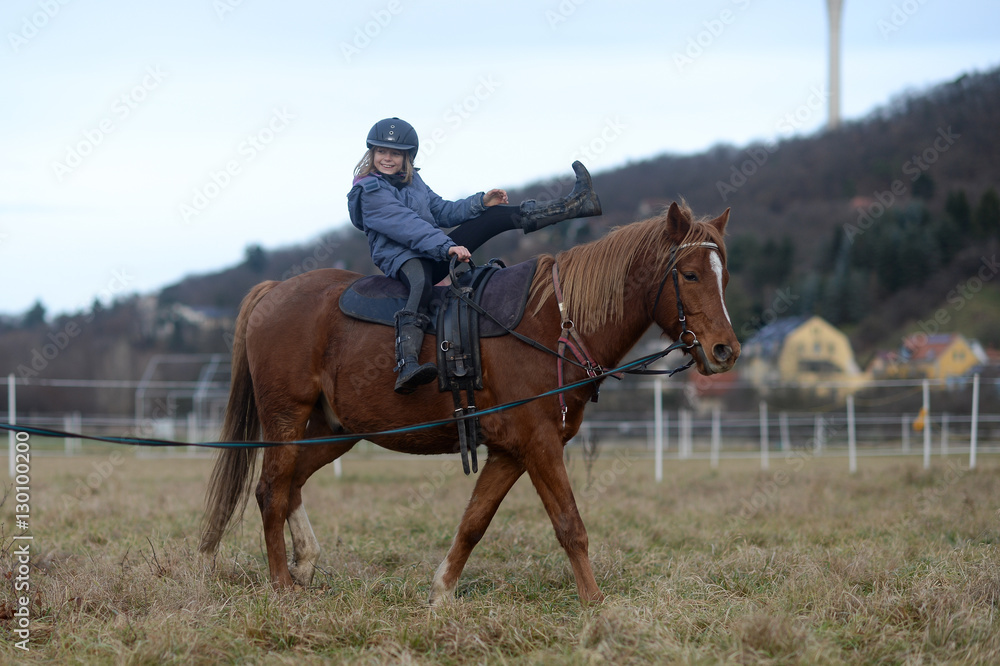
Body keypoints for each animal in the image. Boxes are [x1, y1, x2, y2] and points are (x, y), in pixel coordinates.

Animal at [199, 201, 740, 600]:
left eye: (724, 276)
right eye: (689, 274)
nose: (725, 351)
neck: (551, 324)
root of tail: (274, 292)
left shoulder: (509, 453)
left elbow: (474, 523)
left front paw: (441, 591)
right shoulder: (540, 445)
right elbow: (570, 524)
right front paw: (595, 604)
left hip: (336, 430)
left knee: (290, 485)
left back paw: (305, 563)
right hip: (285, 419)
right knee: (270, 490)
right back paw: (281, 583)